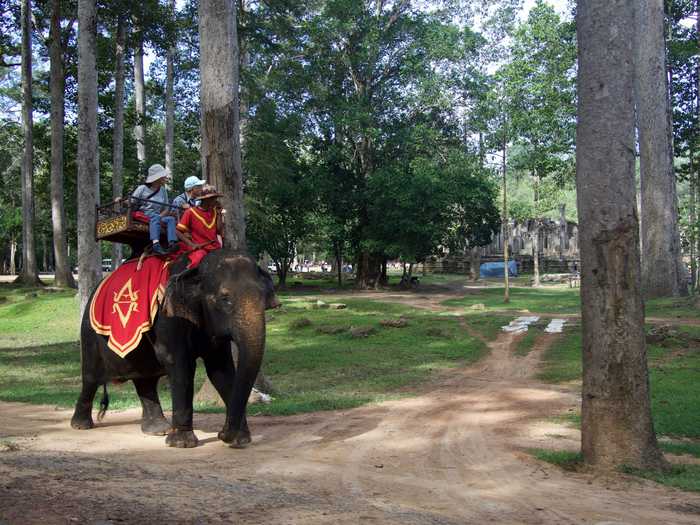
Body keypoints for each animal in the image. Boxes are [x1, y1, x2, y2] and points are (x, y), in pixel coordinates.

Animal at [70, 250, 278, 446]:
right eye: (224, 298)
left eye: (263, 298)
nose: (222, 433)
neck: (196, 268)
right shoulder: (168, 316)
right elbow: (180, 365)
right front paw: (182, 443)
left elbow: (221, 370)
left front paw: (240, 440)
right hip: (89, 333)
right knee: (91, 377)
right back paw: (80, 425)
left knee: (145, 380)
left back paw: (158, 430)